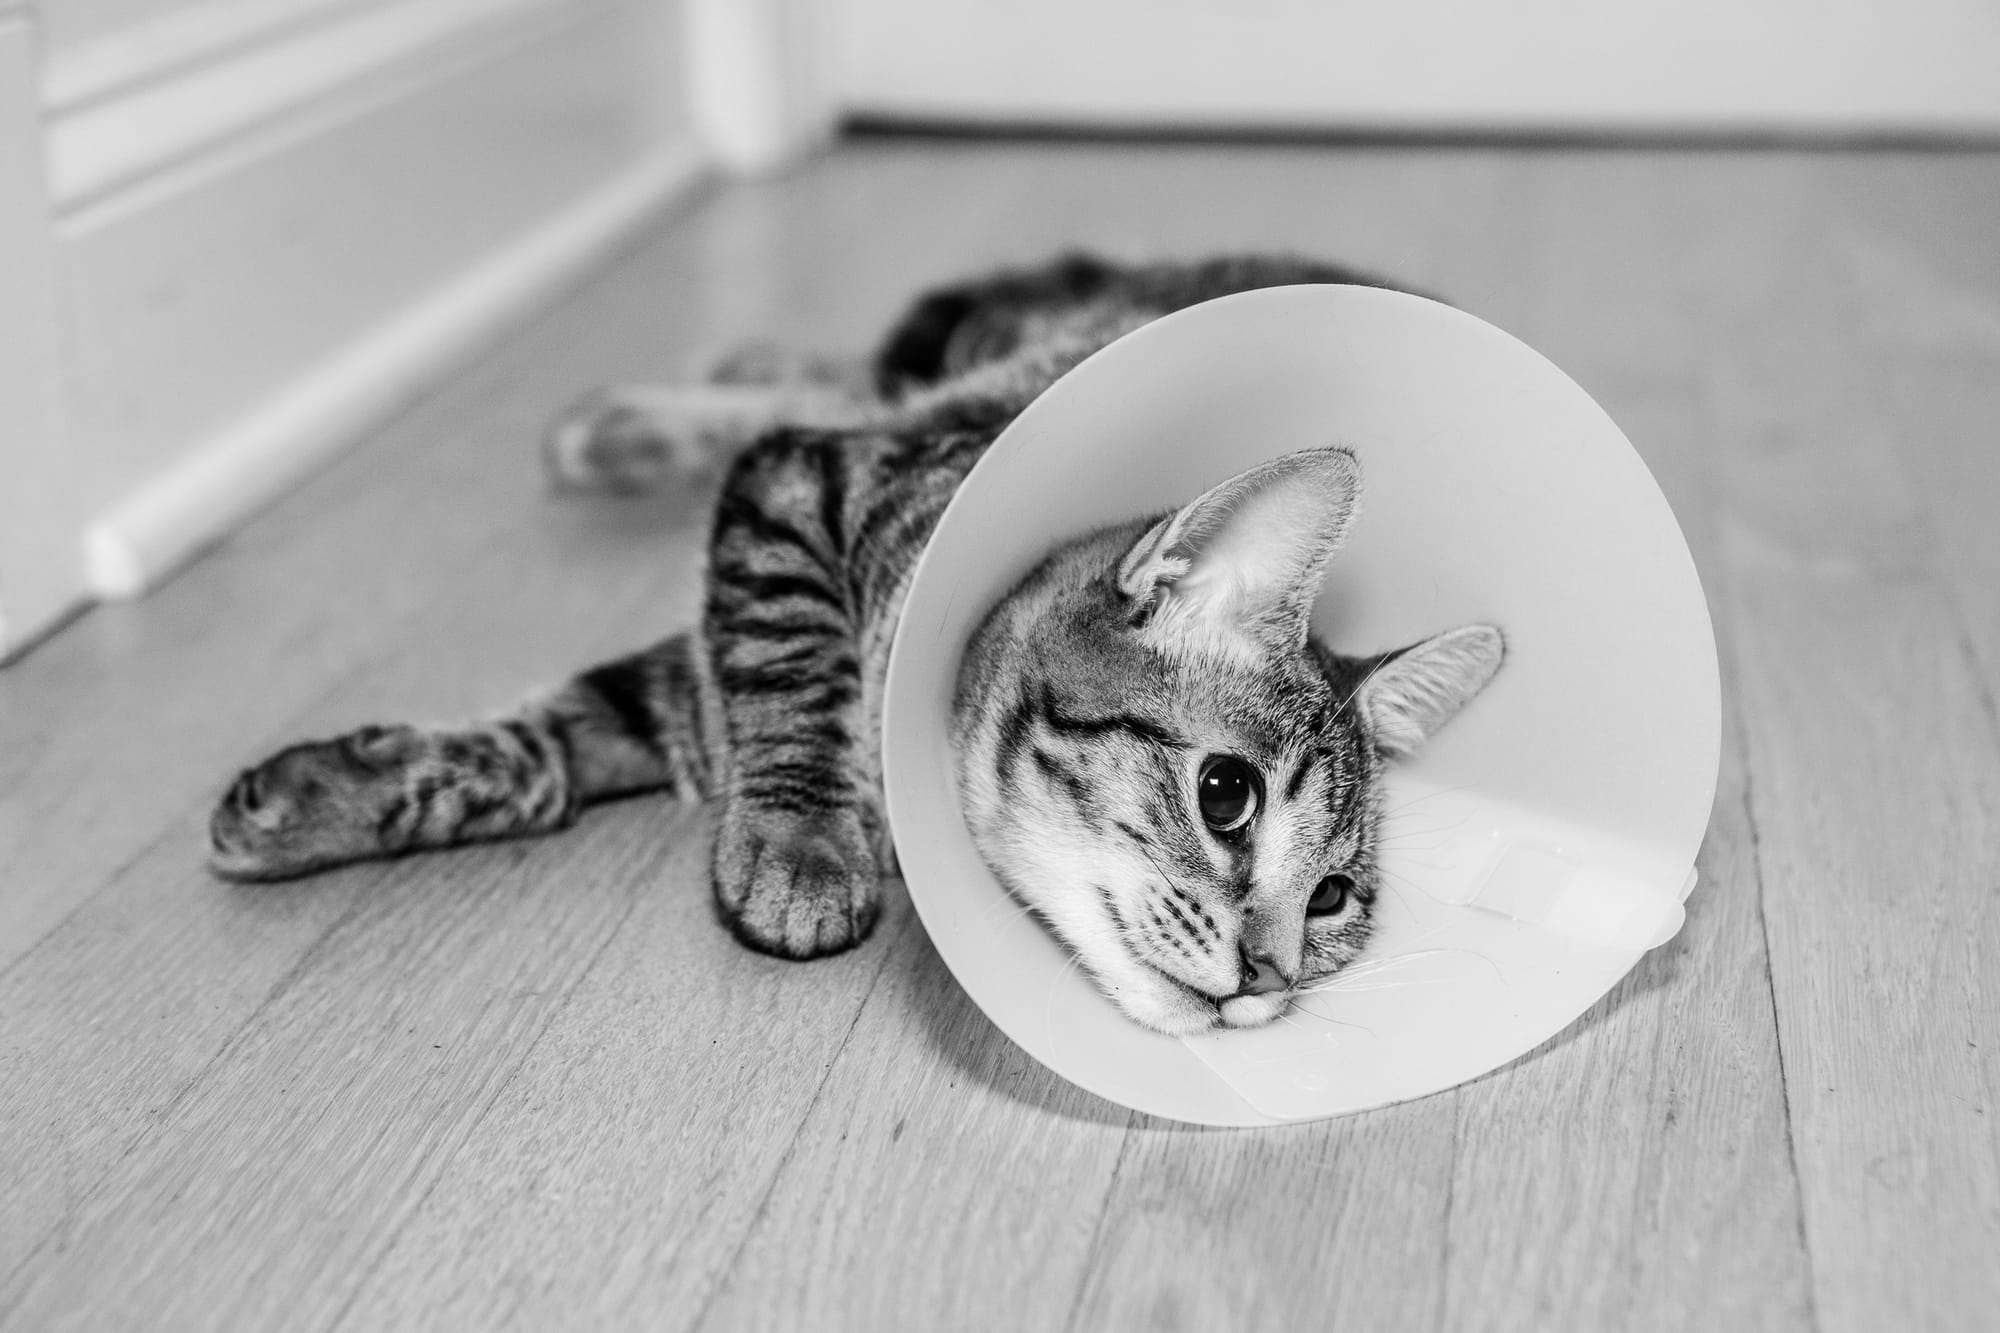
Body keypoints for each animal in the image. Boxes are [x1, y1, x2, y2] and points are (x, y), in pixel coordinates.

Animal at [207, 252, 1504, 1036]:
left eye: (1331, 897)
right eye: (1224, 795)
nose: (1268, 980)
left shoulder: (694, 686)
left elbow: (555, 746)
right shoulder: (793, 494)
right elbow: (772, 679)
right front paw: (799, 843)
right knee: (868, 364)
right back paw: (656, 406)